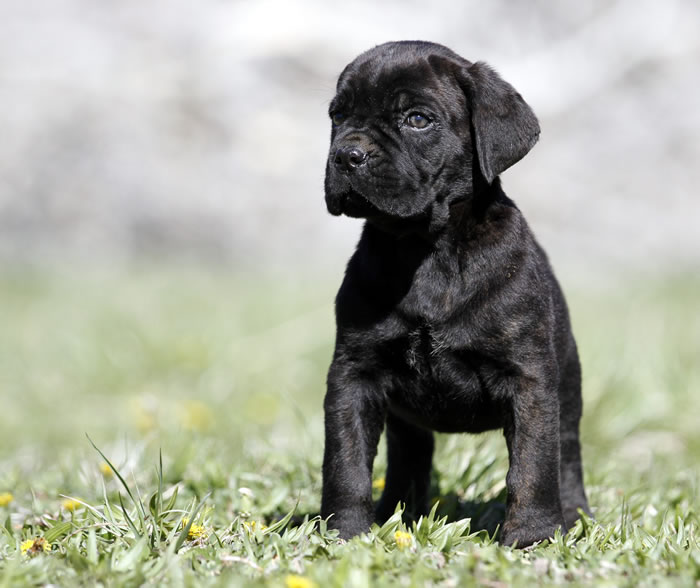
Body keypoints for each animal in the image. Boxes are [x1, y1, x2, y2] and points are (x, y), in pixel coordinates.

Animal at [322, 40, 592, 548]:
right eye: (338, 114)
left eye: (417, 119)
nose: (347, 155)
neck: (426, 249)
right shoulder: (354, 375)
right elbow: (345, 460)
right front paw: (343, 533)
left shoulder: (528, 380)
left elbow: (532, 465)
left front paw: (531, 536)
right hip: (406, 424)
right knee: (409, 459)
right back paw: (396, 515)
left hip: (567, 392)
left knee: (565, 458)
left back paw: (575, 517)